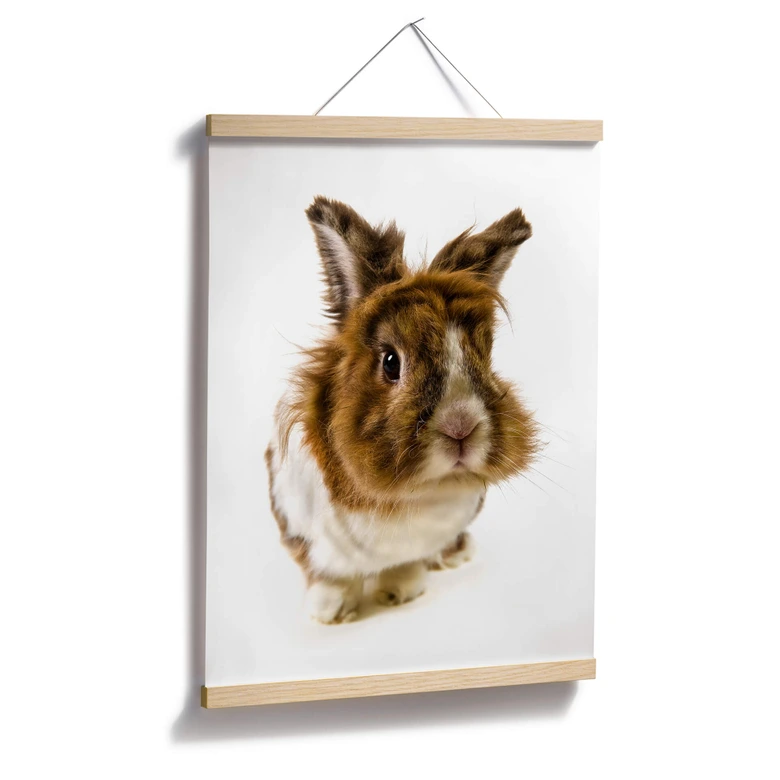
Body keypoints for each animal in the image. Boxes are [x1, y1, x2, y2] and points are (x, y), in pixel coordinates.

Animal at [265, 196, 539, 624]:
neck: (410, 497)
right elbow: (327, 575)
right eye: (391, 362)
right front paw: (330, 612)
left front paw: (399, 593)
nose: (461, 428)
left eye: (485, 356)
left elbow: (406, 565)